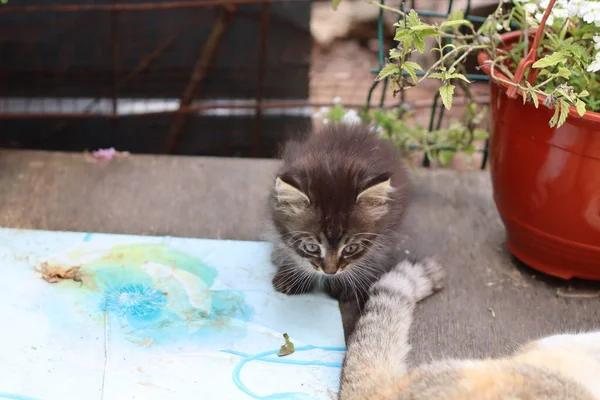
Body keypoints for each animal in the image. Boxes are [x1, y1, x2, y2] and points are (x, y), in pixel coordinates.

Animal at [264, 123, 410, 308]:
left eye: (351, 249)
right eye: (311, 247)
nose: (330, 272)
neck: (335, 164)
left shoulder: (387, 227)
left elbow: (372, 255)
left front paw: (347, 285)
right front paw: (292, 276)